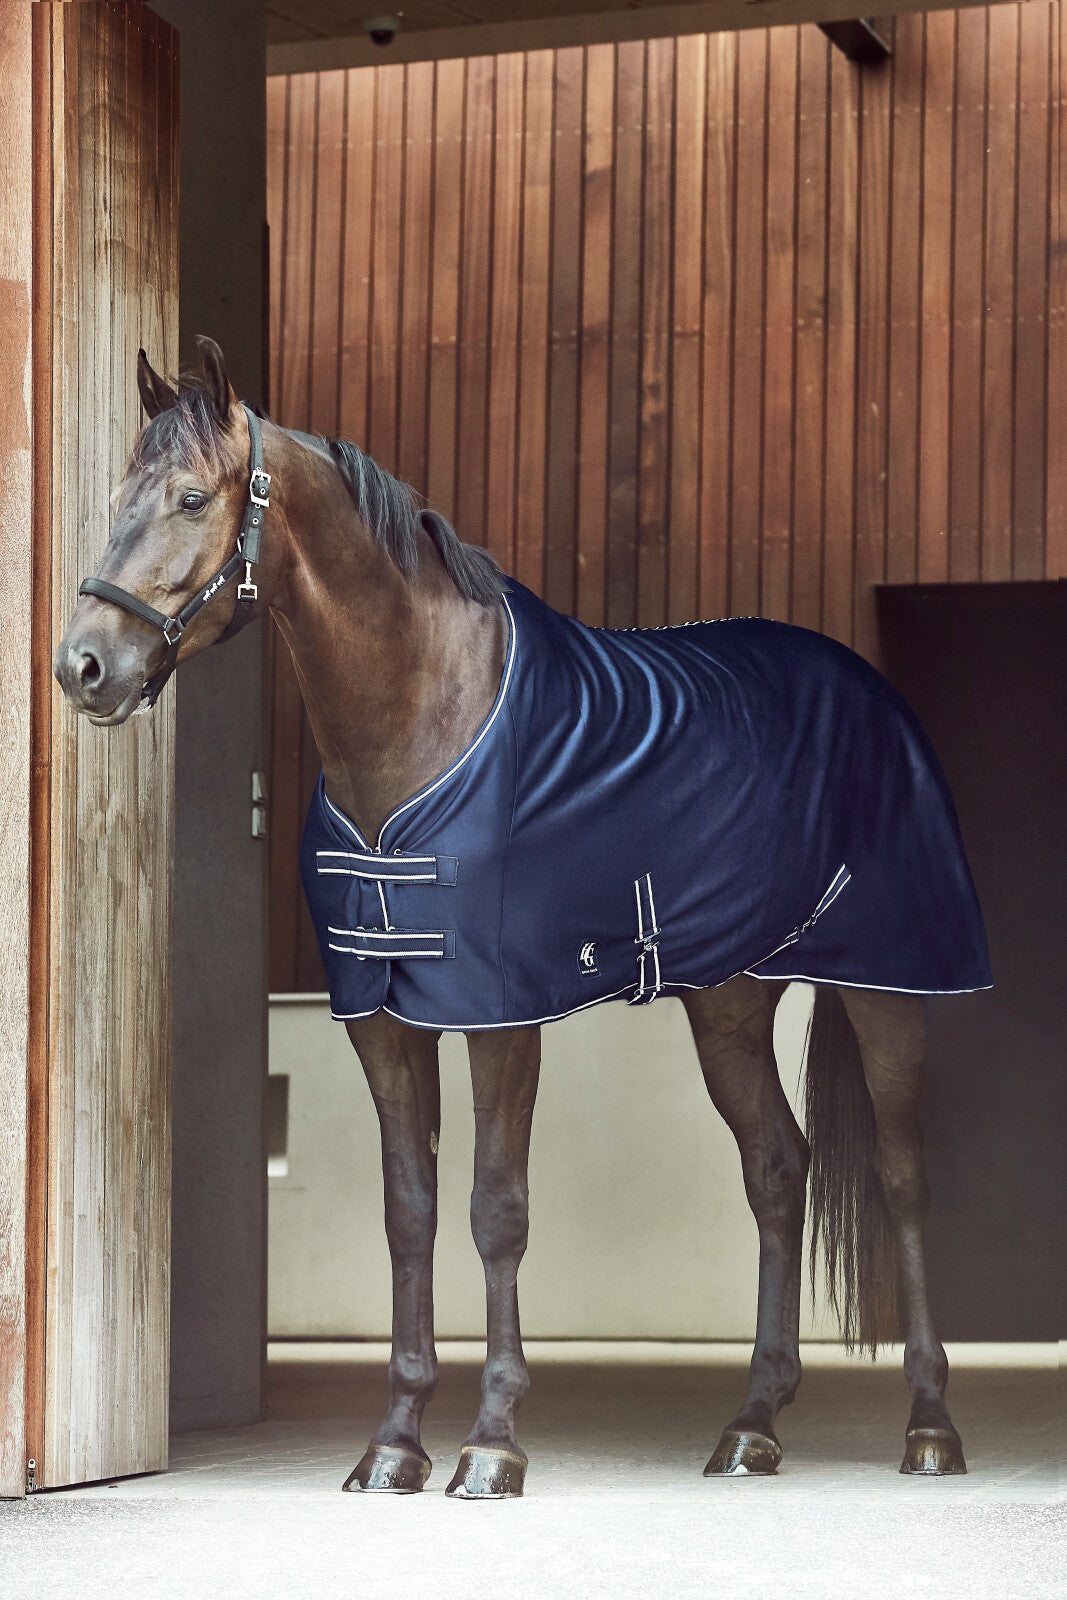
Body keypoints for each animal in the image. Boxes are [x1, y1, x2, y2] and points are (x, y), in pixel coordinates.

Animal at [55, 336, 988, 1499]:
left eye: (190, 497)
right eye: (116, 499)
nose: (82, 667)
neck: (422, 718)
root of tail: (869, 690)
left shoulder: (501, 1016)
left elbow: (495, 1209)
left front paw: (491, 1442)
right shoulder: (382, 1018)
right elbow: (409, 1211)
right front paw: (394, 1441)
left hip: (886, 986)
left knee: (903, 1179)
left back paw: (929, 1424)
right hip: (728, 1004)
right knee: (776, 1170)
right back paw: (751, 1425)